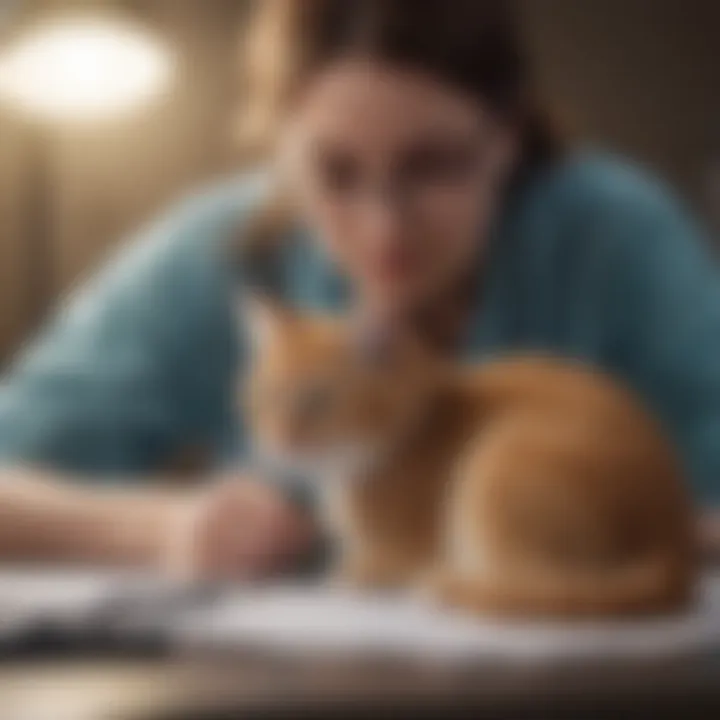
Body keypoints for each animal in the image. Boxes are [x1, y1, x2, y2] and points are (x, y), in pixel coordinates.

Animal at [243, 298, 696, 620]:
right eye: (266, 398)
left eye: (317, 400)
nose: (276, 442)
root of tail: (673, 545)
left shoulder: (395, 555)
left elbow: (354, 571)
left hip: (498, 465)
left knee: (531, 585)